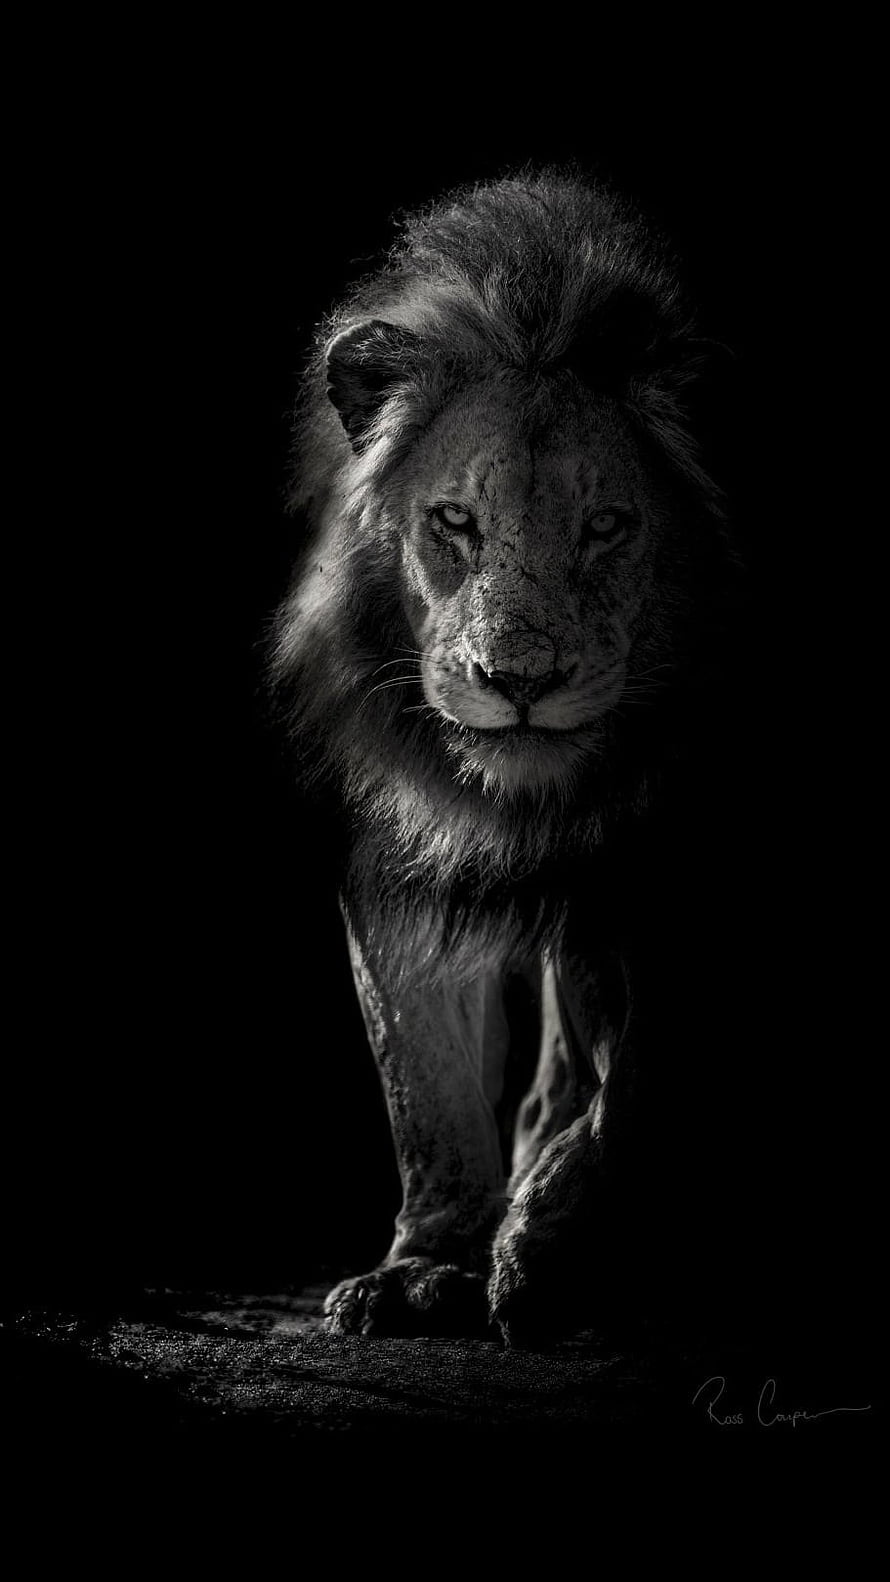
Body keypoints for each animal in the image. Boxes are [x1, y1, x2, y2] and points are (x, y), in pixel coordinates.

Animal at [271, 170, 744, 1345]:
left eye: (606, 526)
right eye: (453, 521)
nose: (514, 680)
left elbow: (635, 1067)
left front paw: (549, 1253)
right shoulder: (392, 847)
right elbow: (424, 1085)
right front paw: (426, 1266)